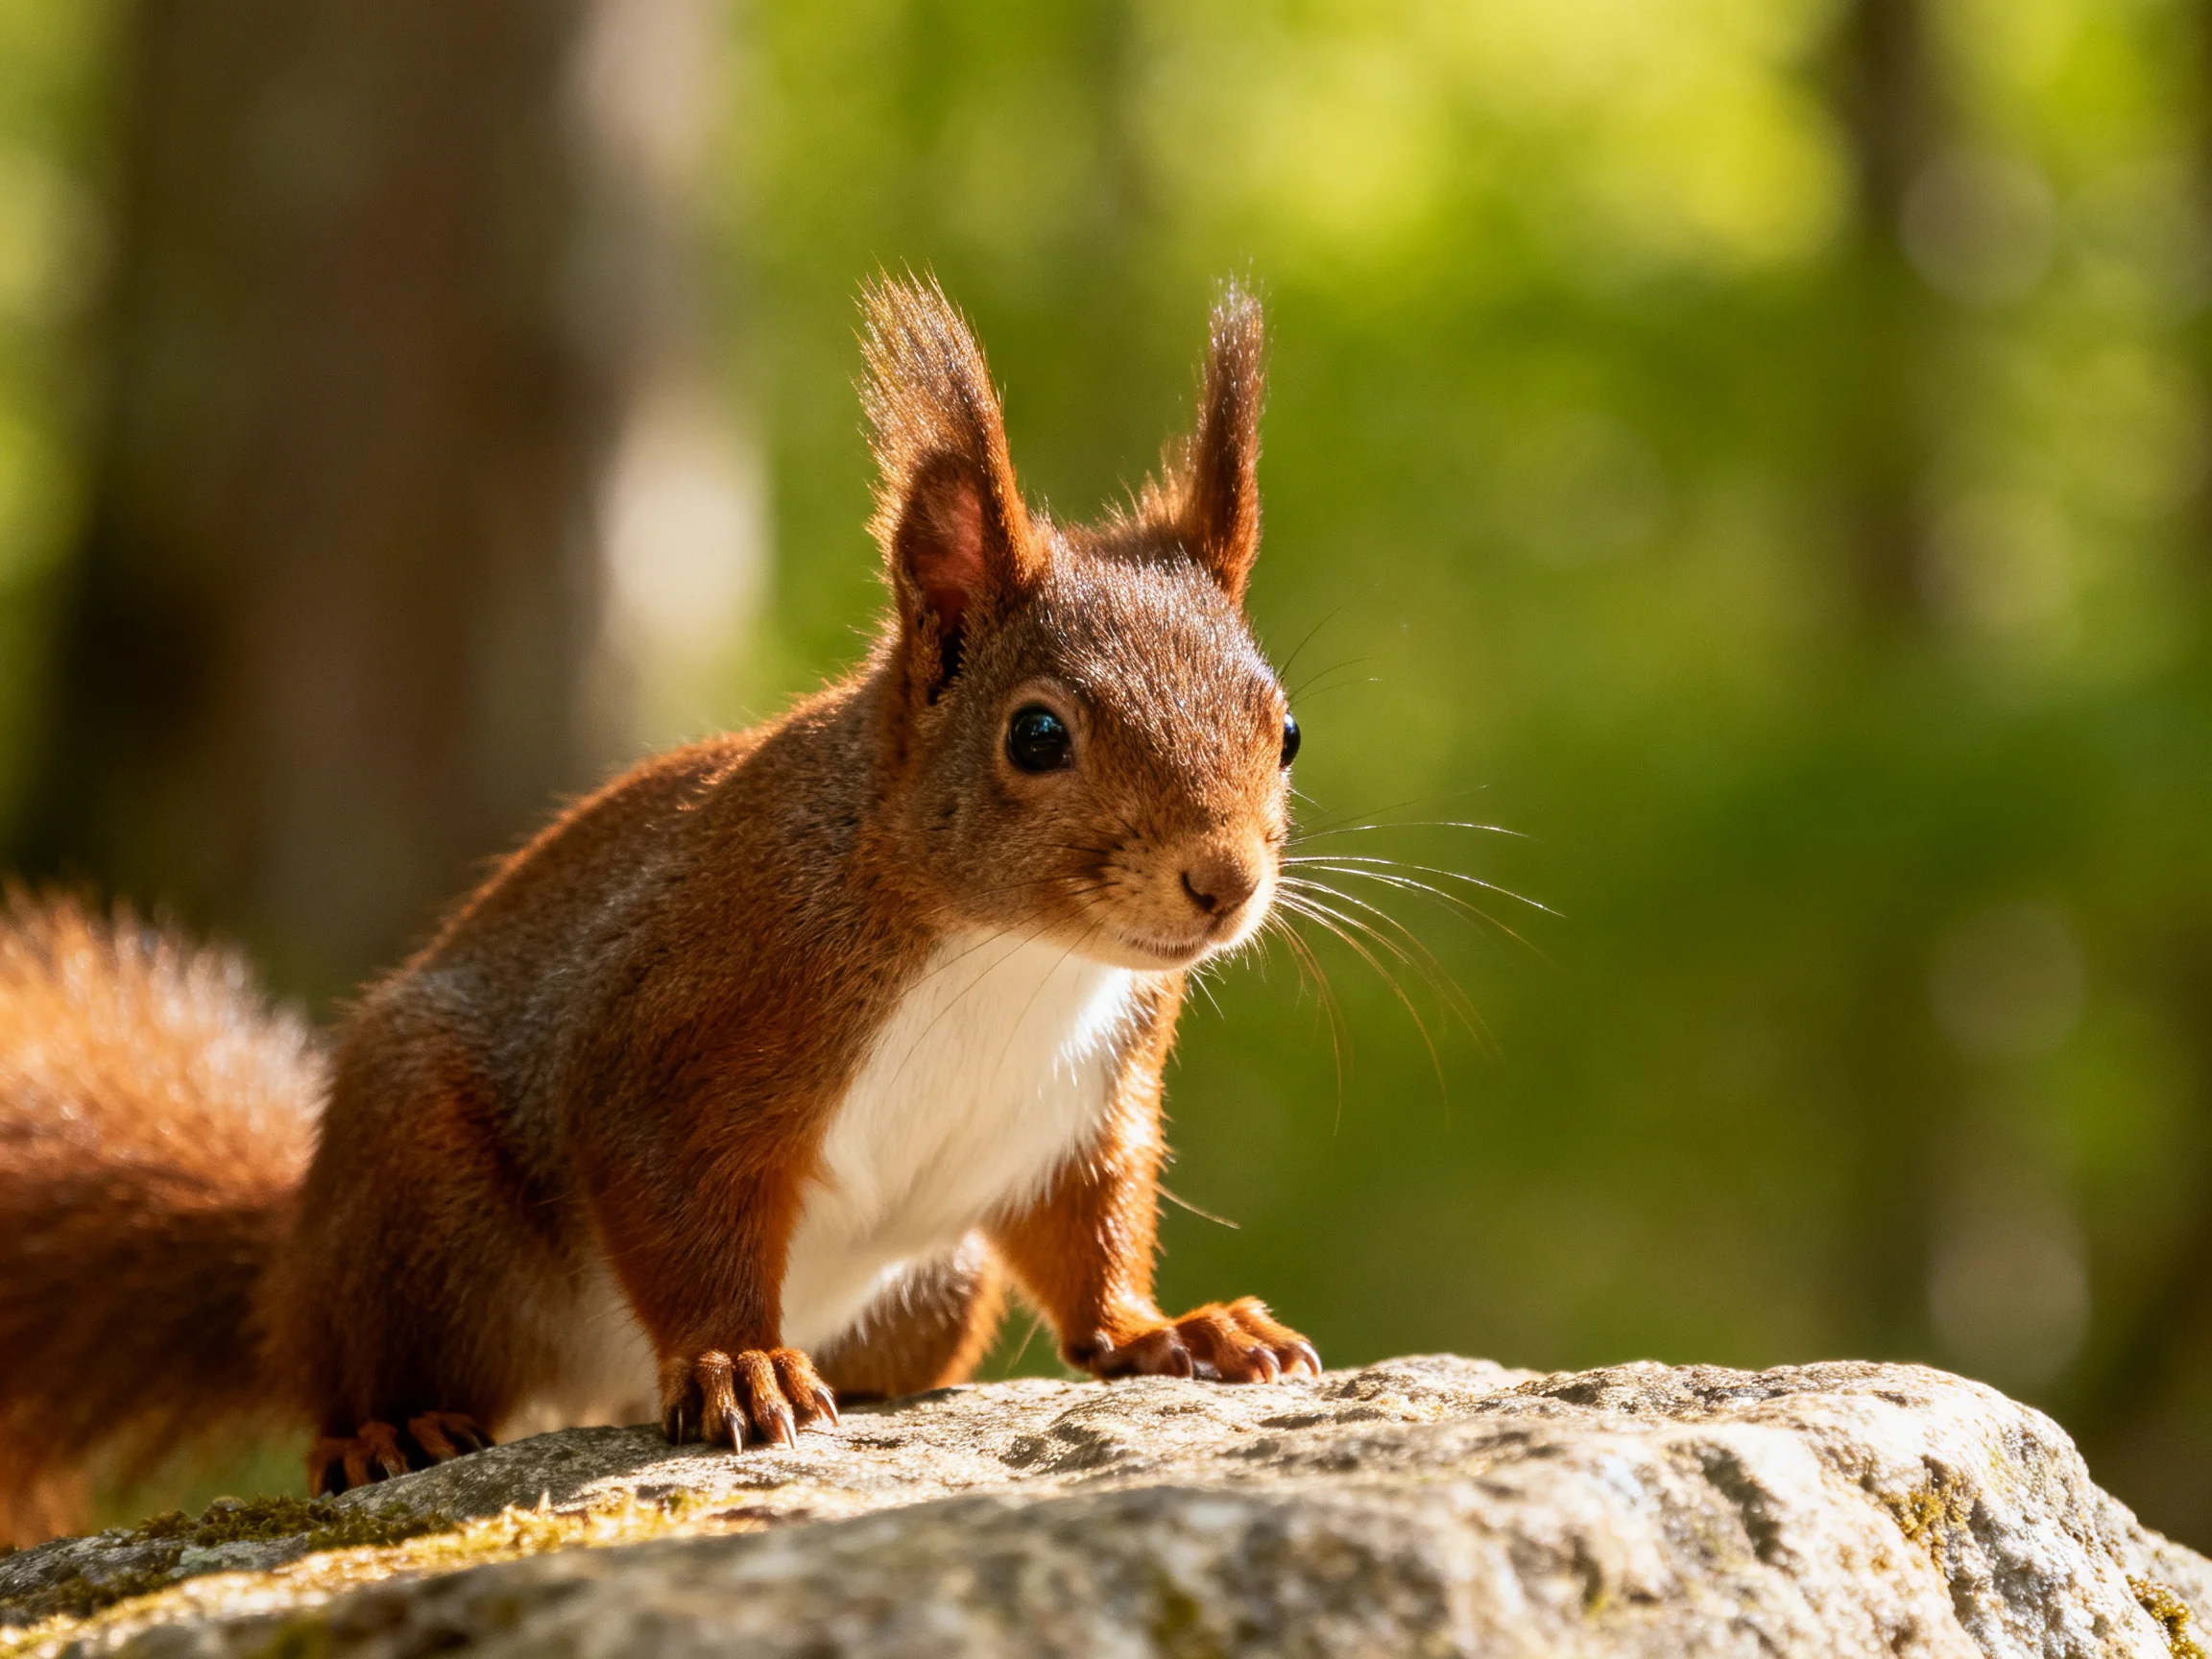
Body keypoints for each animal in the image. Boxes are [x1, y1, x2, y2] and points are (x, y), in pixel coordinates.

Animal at [0, 276, 1317, 1516]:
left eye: (1288, 730)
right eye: (1037, 735)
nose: (1224, 883)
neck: (1014, 955)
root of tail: (287, 1269)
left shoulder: (1086, 1109)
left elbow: (1089, 1243)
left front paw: (1172, 1331)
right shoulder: (693, 1026)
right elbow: (675, 1207)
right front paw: (740, 1363)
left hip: (936, 1288)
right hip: (414, 1193)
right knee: (361, 1365)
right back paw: (386, 1431)